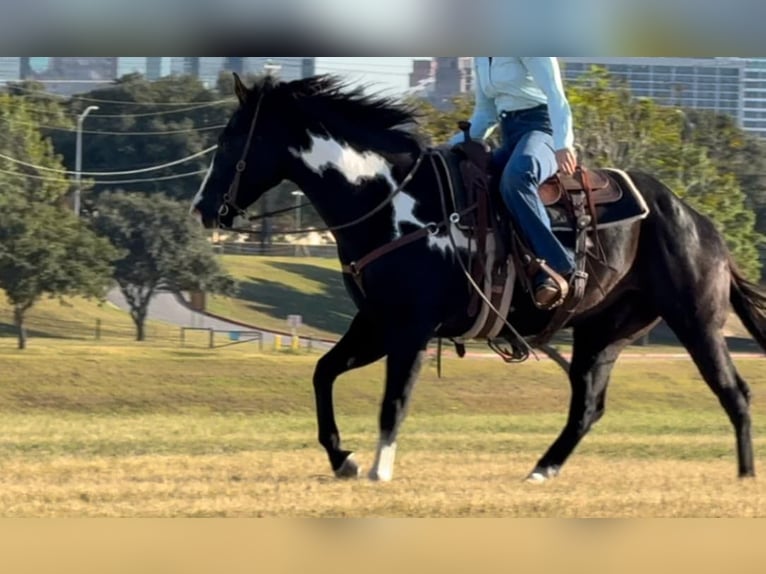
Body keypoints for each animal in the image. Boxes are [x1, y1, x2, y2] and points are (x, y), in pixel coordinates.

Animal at [191, 72, 766, 483]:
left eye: (233, 139)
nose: (202, 208)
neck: (390, 199)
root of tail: (699, 221)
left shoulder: (411, 329)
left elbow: (394, 399)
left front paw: (378, 468)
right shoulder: (375, 323)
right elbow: (323, 373)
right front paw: (343, 459)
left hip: (694, 320)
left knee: (733, 391)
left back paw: (743, 477)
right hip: (602, 332)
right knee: (587, 407)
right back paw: (541, 471)